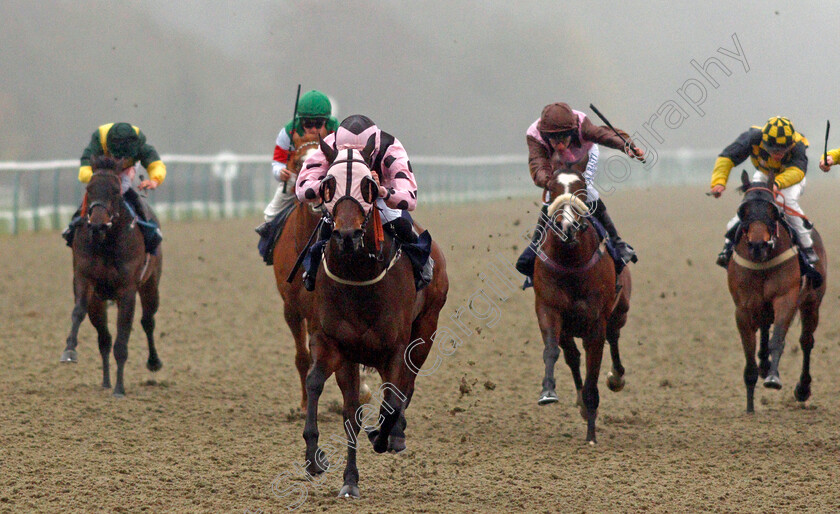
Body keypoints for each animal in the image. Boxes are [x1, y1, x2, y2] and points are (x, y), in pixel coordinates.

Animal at [60, 156, 163, 396]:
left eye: (116, 191)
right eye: (89, 188)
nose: (97, 224)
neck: (105, 243)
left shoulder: (127, 290)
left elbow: (122, 339)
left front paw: (119, 388)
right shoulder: (84, 279)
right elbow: (78, 312)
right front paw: (69, 350)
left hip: (151, 285)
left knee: (147, 321)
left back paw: (153, 362)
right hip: (98, 302)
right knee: (104, 338)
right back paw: (106, 381)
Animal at [300, 137, 446, 496]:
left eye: (368, 185)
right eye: (328, 184)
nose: (347, 235)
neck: (358, 275)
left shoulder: (395, 348)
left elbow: (392, 400)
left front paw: (383, 436)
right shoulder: (337, 346)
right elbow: (328, 395)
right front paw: (328, 467)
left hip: (425, 332)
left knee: (406, 386)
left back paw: (394, 435)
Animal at [540, 166, 632, 442]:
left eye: (581, 188)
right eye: (552, 189)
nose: (567, 227)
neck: (571, 262)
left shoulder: (595, 323)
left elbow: (594, 366)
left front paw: (591, 434)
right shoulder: (549, 310)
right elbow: (553, 351)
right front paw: (548, 391)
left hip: (620, 311)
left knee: (614, 337)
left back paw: (616, 377)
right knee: (572, 357)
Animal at [724, 170, 824, 410]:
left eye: (773, 211)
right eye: (743, 211)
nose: (757, 245)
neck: (762, 262)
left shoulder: (786, 298)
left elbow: (777, 338)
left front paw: (772, 377)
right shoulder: (743, 308)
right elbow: (749, 351)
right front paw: (750, 406)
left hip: (812, 302)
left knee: (806, 341)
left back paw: (802, 388)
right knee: (763, 330)